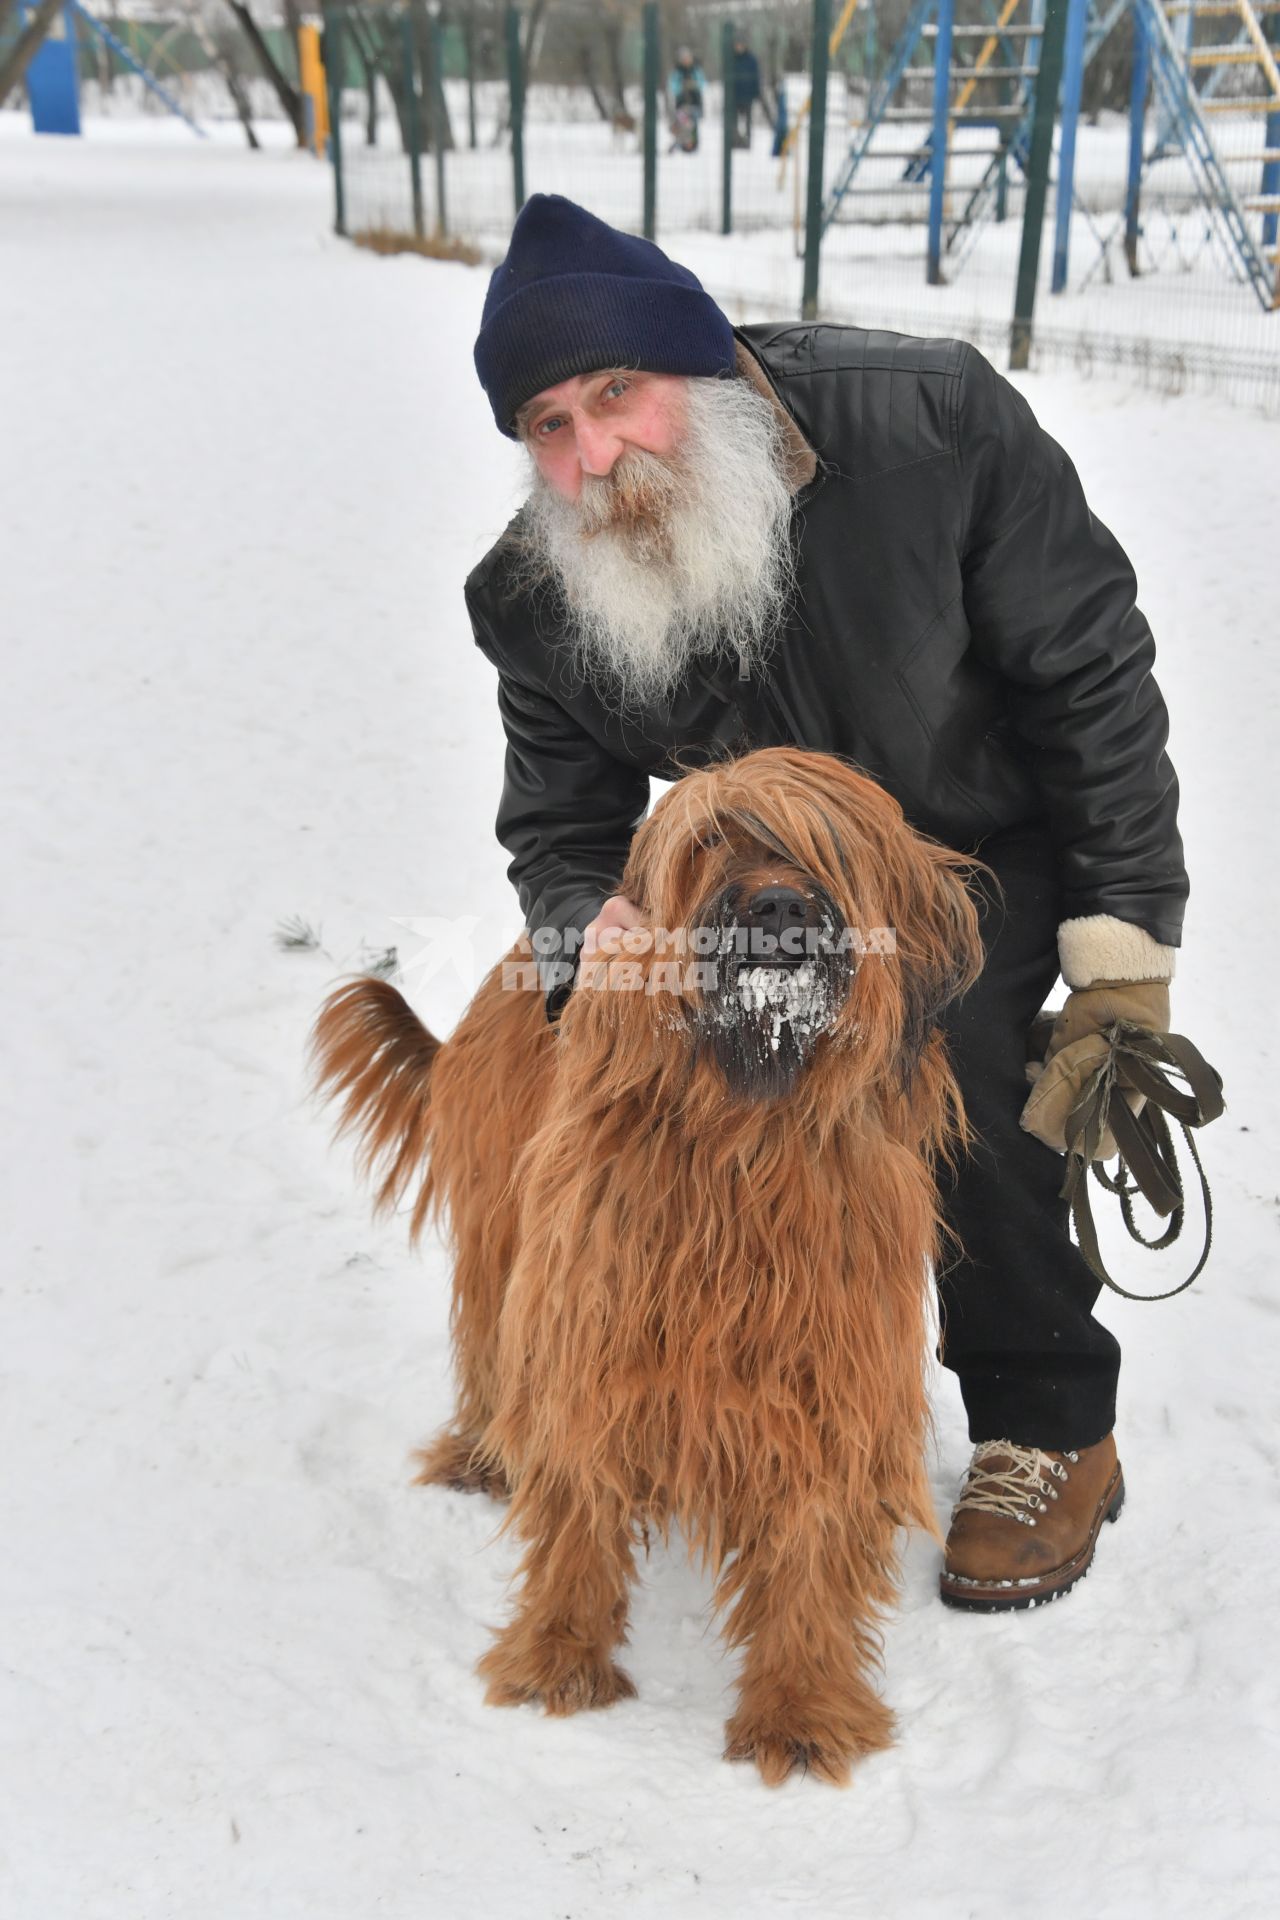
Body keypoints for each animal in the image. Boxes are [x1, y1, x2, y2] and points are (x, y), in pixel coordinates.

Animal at [307, 744, 982, 1781]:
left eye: (827, 845)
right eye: (711, 839)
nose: (776, 905)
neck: (744, 1142)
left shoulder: (831, 1361)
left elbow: (814, 1529)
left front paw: (801, 1705)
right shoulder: (590, 1324)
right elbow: (578, 1494)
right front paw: (557, 1655)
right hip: (502, 1233)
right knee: (491, 1348)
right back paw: (482, 1452)